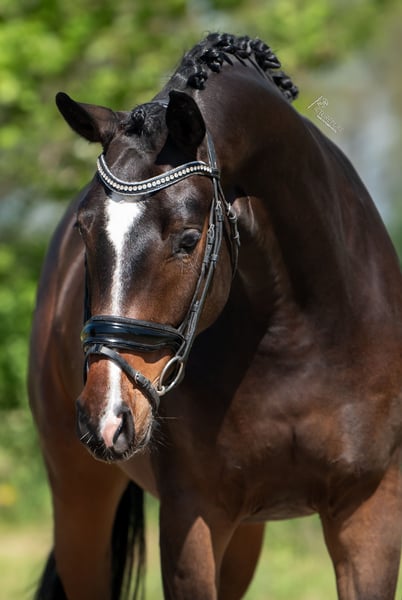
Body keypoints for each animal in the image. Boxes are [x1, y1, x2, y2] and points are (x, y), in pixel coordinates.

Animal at [29, 33, 402, 600]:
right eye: (84, 231)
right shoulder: (194, 517)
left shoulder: (369, 515)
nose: (105, 417)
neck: (298, 336)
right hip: (80, 500)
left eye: (188, 239)